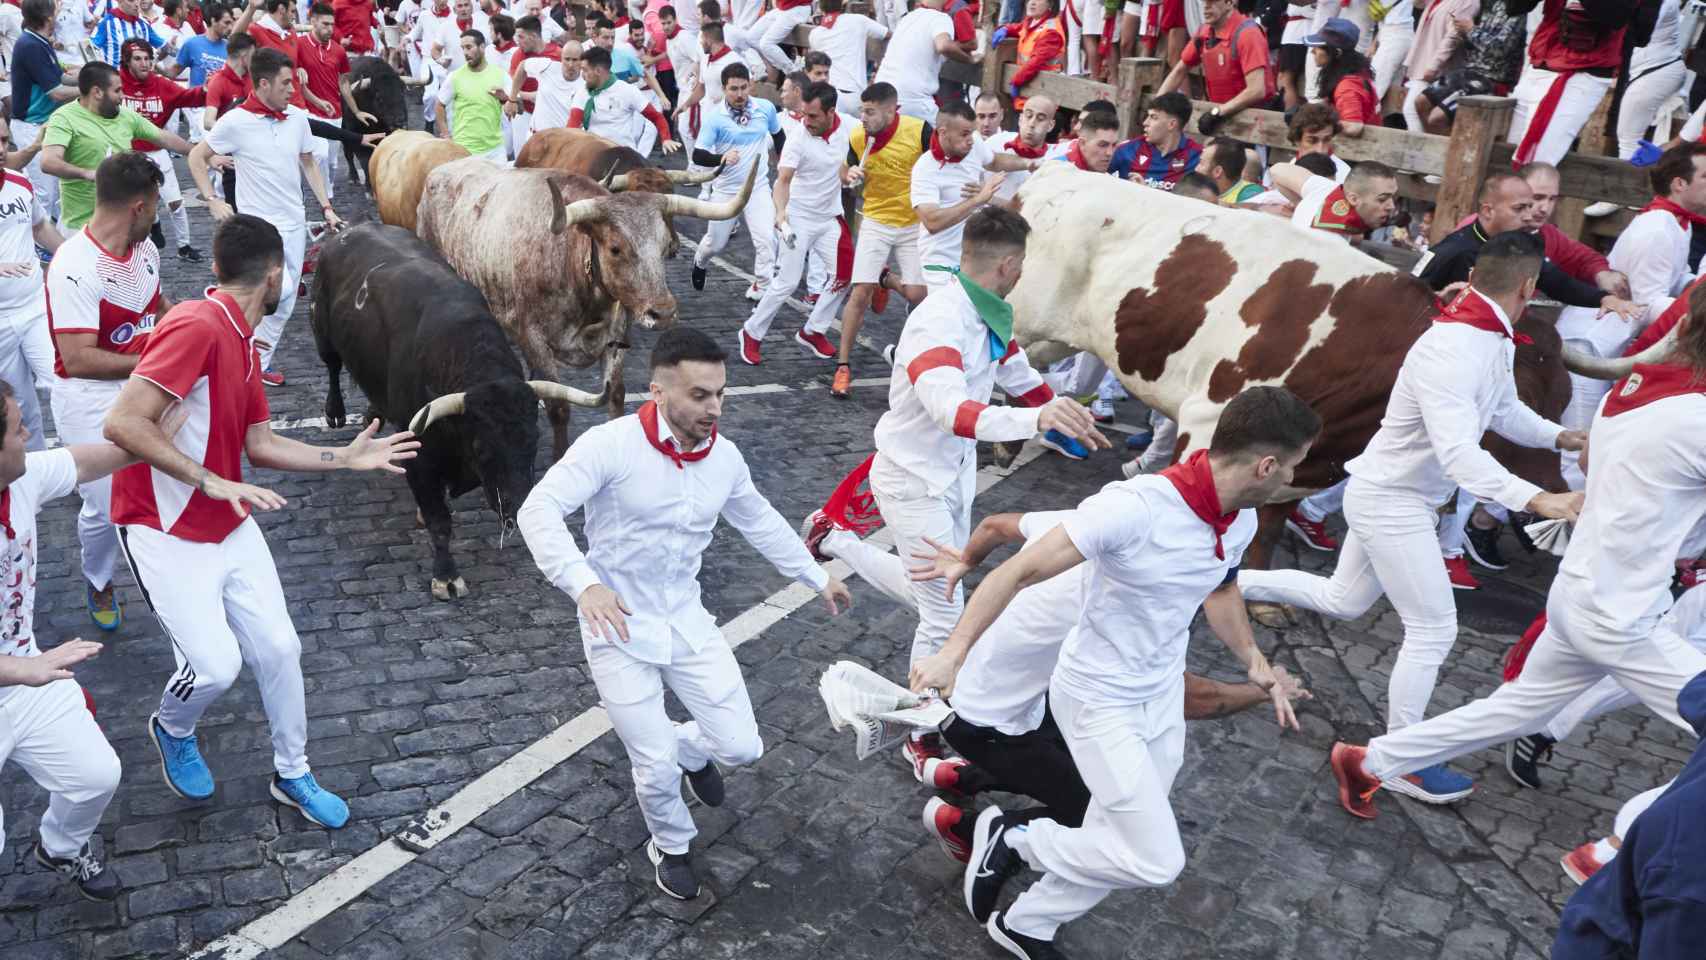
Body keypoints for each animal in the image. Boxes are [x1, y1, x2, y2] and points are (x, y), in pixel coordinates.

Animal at [310, 225, 590, 600]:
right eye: (482, 449)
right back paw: (336, 411)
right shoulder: (419, 458)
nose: (517, 508)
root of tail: (349, 230)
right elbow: (439, 521)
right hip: (321, 329)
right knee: (331, 366)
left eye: (533, 443)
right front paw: (446, 577)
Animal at [412, 156, 760, 456]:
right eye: (616, 248)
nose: (663, 312)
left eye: (663, 247)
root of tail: (441, 170)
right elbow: (559, 406)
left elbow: (616, 396)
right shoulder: (533, 338)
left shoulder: (617, 339)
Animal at [1009, 162, 1624, 576]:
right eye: (1507, 397)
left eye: (1561, 395)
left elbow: (1269, 525)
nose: (1559, 487)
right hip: (1024, 319)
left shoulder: (1302, 456)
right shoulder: (1209, 421)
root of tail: (1053, 173)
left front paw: (1260, 589)